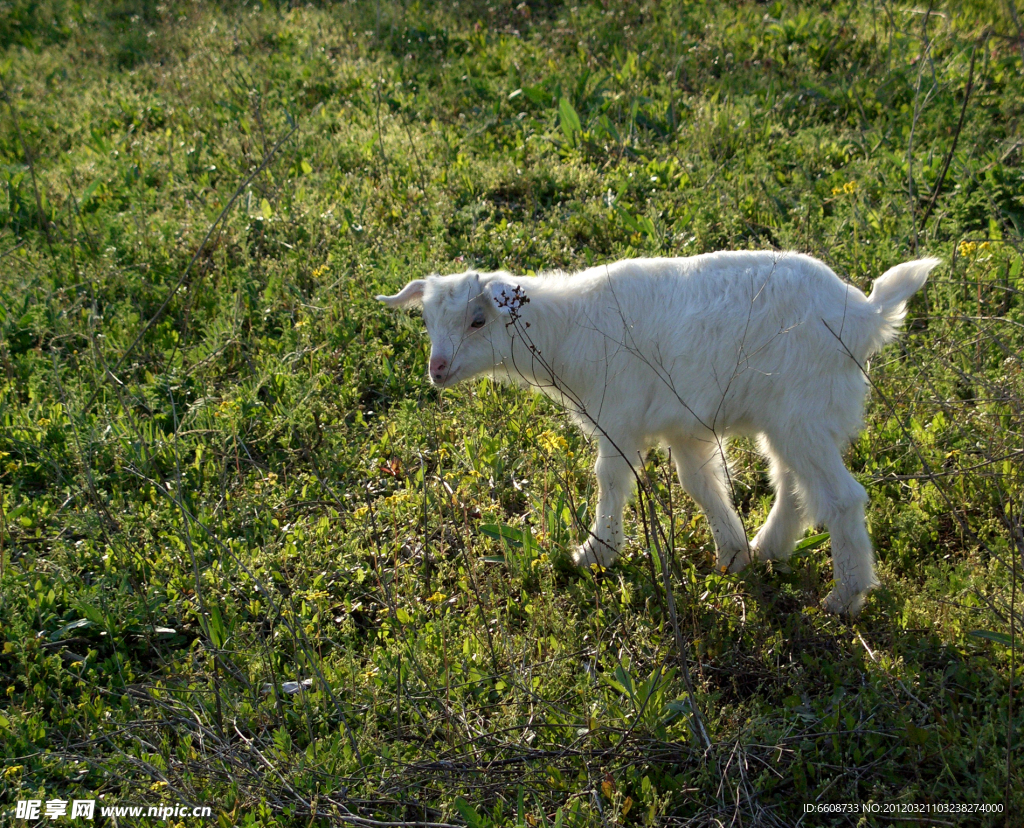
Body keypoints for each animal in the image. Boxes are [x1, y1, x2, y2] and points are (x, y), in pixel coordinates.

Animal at [380, 251, 937, 614]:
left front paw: (595, 554)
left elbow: (611, 479)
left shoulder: (619, 415)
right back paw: (768, 549)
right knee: (794, 487)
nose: (437, 369)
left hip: (803, 411)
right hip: (793, 417)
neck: (567, 329)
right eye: (427, 319)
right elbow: (701, 485)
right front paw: (732, 556)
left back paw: (845, 597)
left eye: (478, 320)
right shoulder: (685, 426)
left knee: (841, 498)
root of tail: (865, 315)